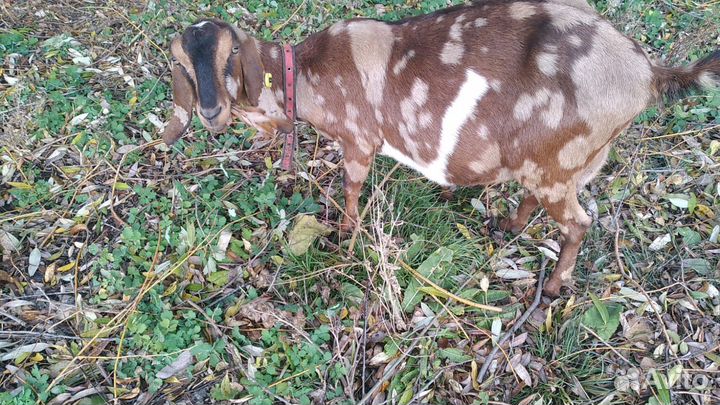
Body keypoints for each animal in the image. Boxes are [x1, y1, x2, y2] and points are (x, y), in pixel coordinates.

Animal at [161, 1, 720, 297]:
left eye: (230, 58)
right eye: (184, 66)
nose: (210, 111)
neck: (308, 77)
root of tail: (648, 75)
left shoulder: (359, 139)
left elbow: (350, 188)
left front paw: (343, 236)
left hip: (560, 160)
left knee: (580, 223)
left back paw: (552, 289)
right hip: (551, 163)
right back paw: (509, 227)